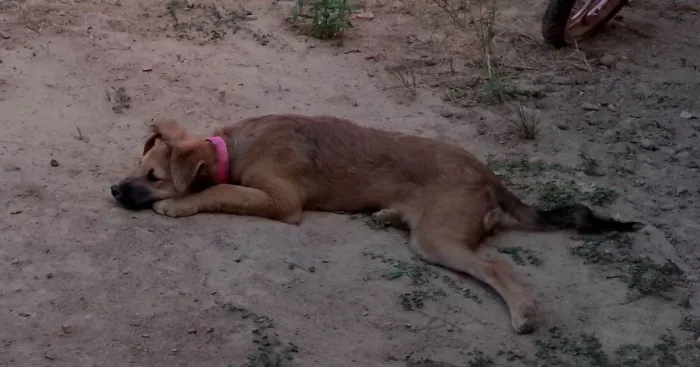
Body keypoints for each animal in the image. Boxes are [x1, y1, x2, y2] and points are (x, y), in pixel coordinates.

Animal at [112, 113, 644, 334]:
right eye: (138, 167)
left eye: (154, 178)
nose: (115, 191)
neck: (233, 148)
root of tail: (489, 176)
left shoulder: (283, 201)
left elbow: (220, 192)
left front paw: (178, 206)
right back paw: (388, 214)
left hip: (437, 240)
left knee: (498, 267)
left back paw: (524, 312)